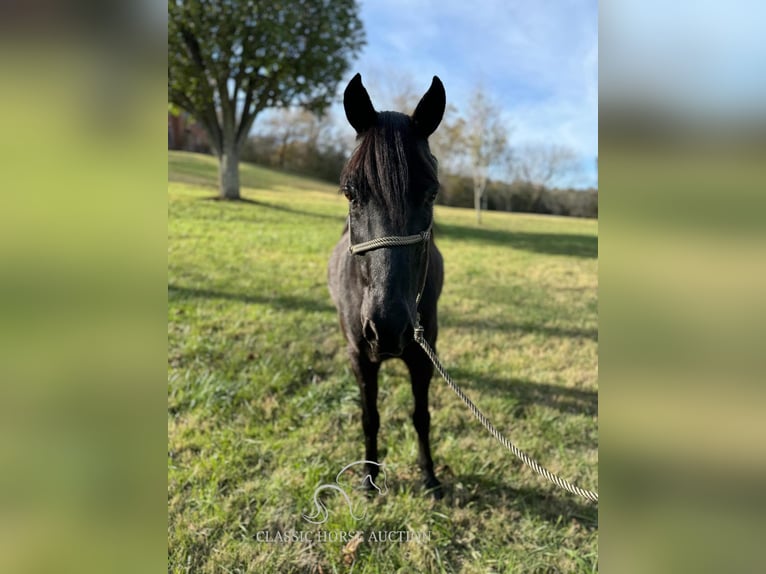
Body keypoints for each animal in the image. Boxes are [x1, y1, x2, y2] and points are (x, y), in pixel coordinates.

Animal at [328, 75, 448, 500]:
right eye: (350, 192)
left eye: (431, 193)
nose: (387, 327)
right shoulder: (360, 358)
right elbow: (370, 417)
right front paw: (369, 479)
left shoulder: (424, 357)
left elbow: (422, 416)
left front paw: (429, 476)